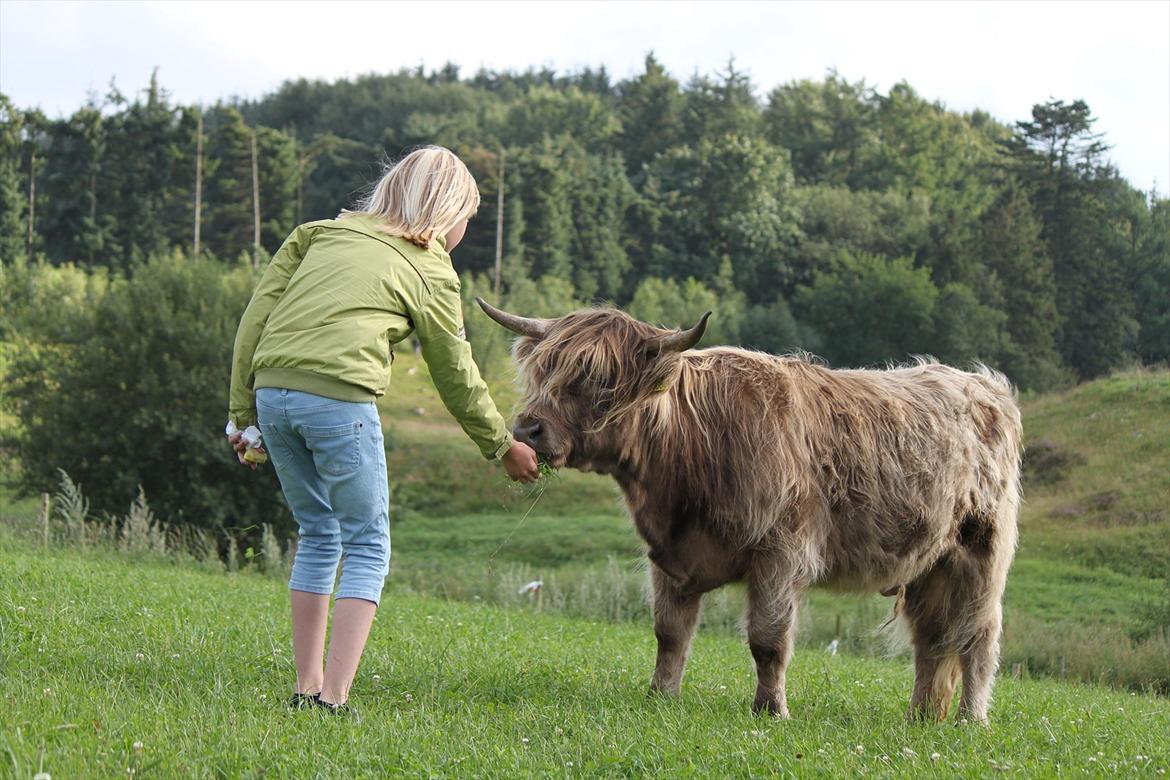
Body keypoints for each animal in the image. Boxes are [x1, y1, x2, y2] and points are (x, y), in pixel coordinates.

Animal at [476, 298, 1021, 723]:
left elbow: (768, 639)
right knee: (932, 641)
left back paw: (970, 720)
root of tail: (984, 384)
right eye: (544, 370)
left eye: (598, 379)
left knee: (977, 638)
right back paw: (920, 717)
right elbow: (670, 633)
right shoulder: (668, 557)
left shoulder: (781, 553)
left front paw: (771, 709)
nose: (527, 429)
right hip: (929, 566)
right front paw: (660, 696)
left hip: (979, 557)